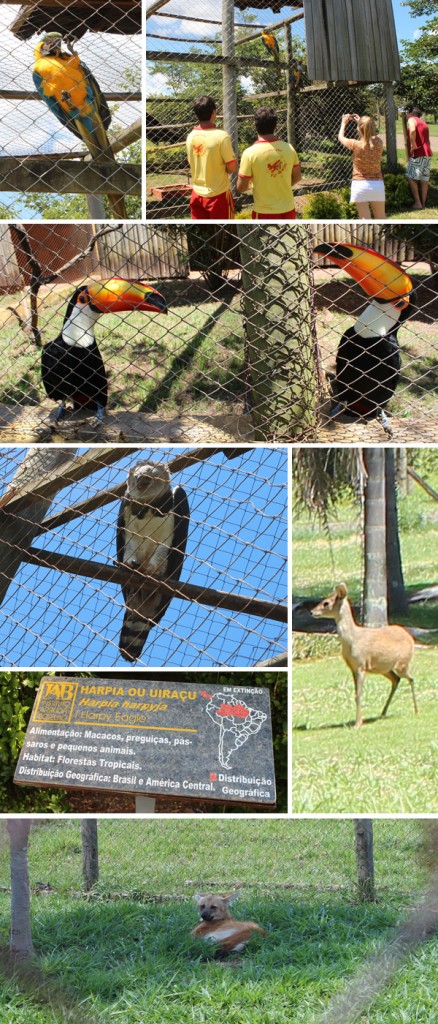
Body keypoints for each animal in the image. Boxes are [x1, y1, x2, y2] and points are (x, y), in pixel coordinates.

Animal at [311, 585, 417, 729]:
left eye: (326, 603)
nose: (312, 611)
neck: (352, 640)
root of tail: (410, 637)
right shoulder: (352, 667)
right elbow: (356, 693)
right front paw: (358, 721)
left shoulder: (361, 665)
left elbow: (359, 694)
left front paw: (357, 724)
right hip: (383, 668)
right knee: (396, 679)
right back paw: (383, 713)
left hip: (402, 662)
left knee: (411, 678)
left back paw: (416, 711)